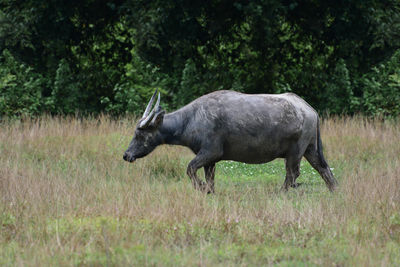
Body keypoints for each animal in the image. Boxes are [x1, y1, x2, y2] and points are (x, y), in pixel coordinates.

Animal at [122, 89, 338, 193]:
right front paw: (208, 190)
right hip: (311, 149)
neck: (191, 119)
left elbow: (190, 168)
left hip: (295, 152)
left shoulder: (210, 152)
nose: (126, 155)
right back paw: (335, 191)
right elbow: (209, 179)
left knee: (292, 174)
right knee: (324, 169)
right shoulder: (210, 160)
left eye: (140, 135)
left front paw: (201, 188)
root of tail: (309, 109)